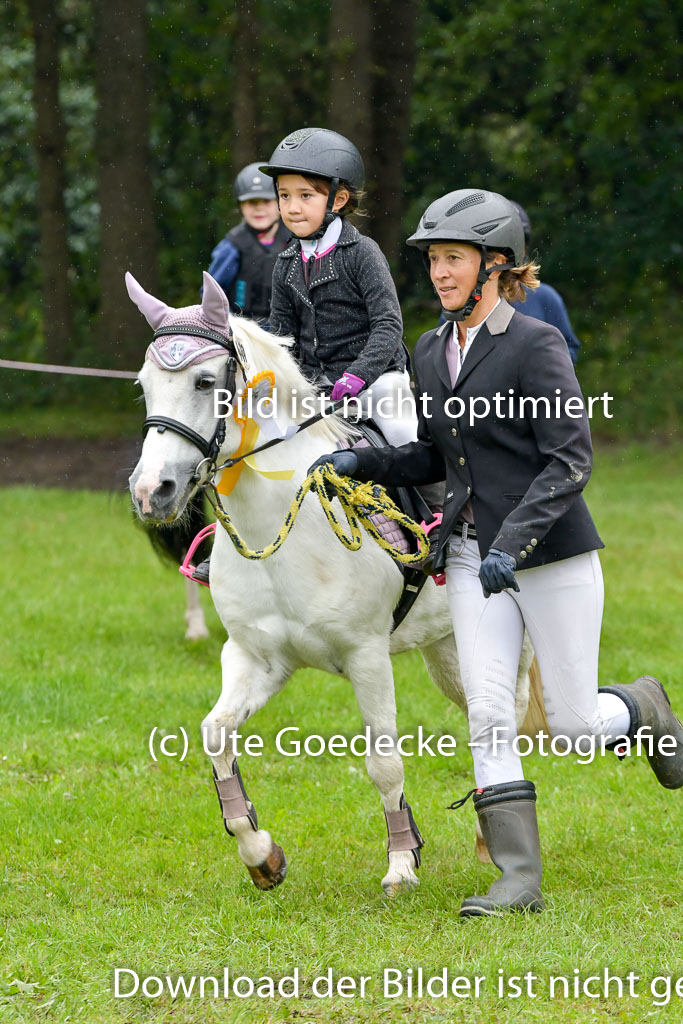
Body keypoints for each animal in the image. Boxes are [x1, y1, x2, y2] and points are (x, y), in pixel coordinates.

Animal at [127, 271, 545, 894]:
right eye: (145, 385)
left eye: (204, 381)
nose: (152, 491)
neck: (281, 527)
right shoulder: (256, 657)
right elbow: (216, 735)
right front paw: (261, 855)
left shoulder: (366, 657)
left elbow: (384, 763)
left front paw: (401, 863)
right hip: (446, 648)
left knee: (508, 715)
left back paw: (485, 835)